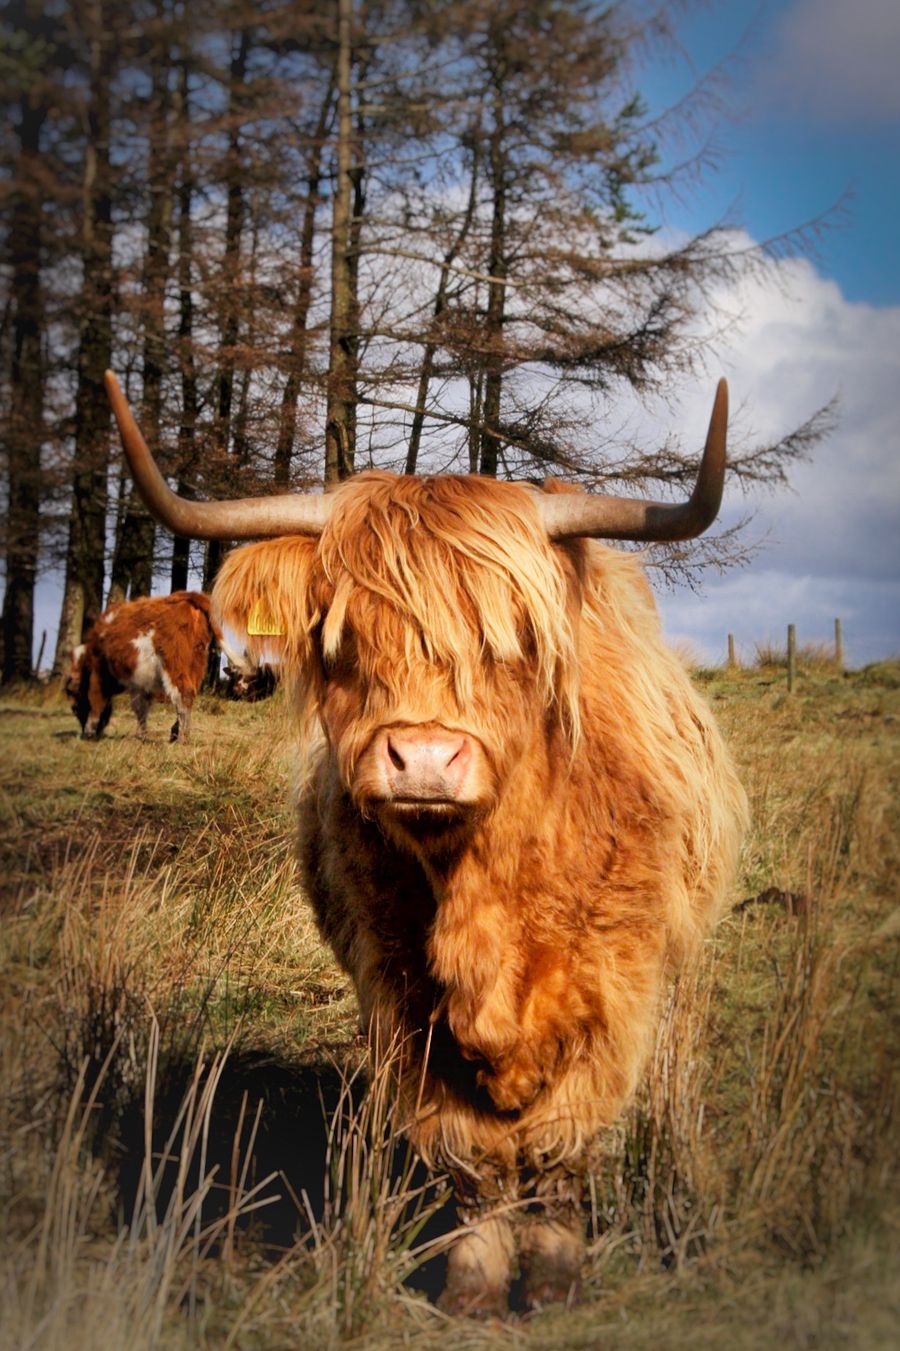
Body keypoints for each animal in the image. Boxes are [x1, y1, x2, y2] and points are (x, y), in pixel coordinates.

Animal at [64, 590, 220, 743]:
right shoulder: (141, 683)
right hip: (196, 666)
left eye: (75, 706)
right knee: (189, 695)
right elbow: (141, 707)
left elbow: (96, 699)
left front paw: (89, 731)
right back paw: (176, 733)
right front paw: (141, 735)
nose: (82, 733)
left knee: (184, 695)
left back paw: (182, 738)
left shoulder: (100, 672)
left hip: (174, 664)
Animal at [105, 370, 747, 1315]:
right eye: (344, 638)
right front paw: (475, 1285)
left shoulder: (615, 996)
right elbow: (469, 1155)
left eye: (513, 639)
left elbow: (560, 1148)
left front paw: (554, 1277)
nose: (424, 758)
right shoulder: (400, 992)